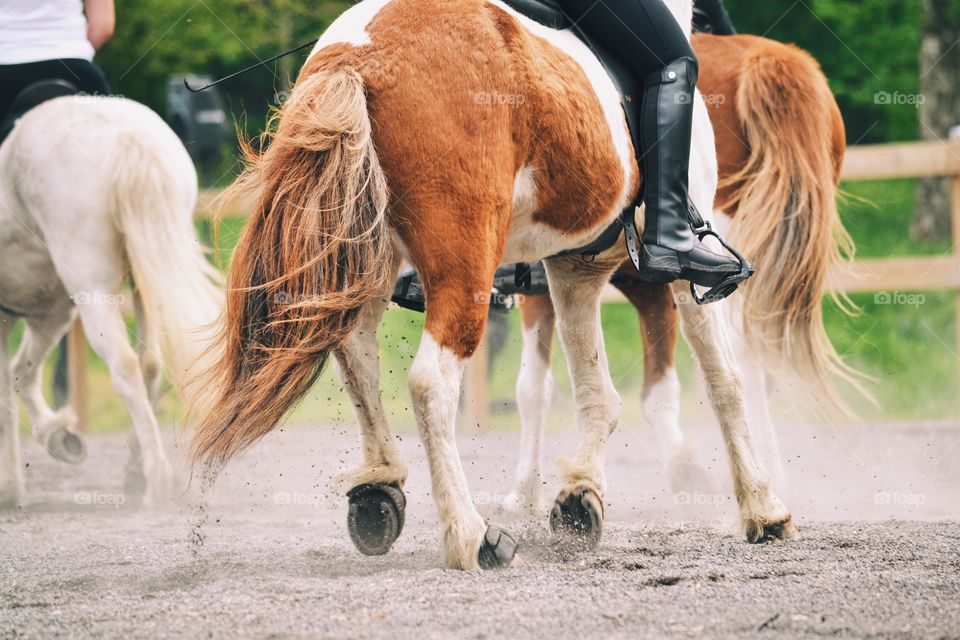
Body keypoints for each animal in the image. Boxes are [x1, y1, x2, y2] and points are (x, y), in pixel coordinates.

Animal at [0, 95, 222, 509]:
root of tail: (125, 136)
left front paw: (10, 485)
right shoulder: (50, 312)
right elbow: (19, 372)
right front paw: (56, 440)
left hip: (95, 291)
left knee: (126, 366)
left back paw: (156, 479)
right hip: (140, 280)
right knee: (149, 363)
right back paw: (135, 468)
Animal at [190, 0, 792, 570]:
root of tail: (357, 51)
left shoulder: (574, 268)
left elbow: (598, 392)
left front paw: (580, 499)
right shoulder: (679, 276)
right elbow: (724, 382)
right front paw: (763, 510)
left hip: (368, 255)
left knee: (356, 355)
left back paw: (378, 487)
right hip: (464, 262)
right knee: (430, 383)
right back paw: (471, 536)